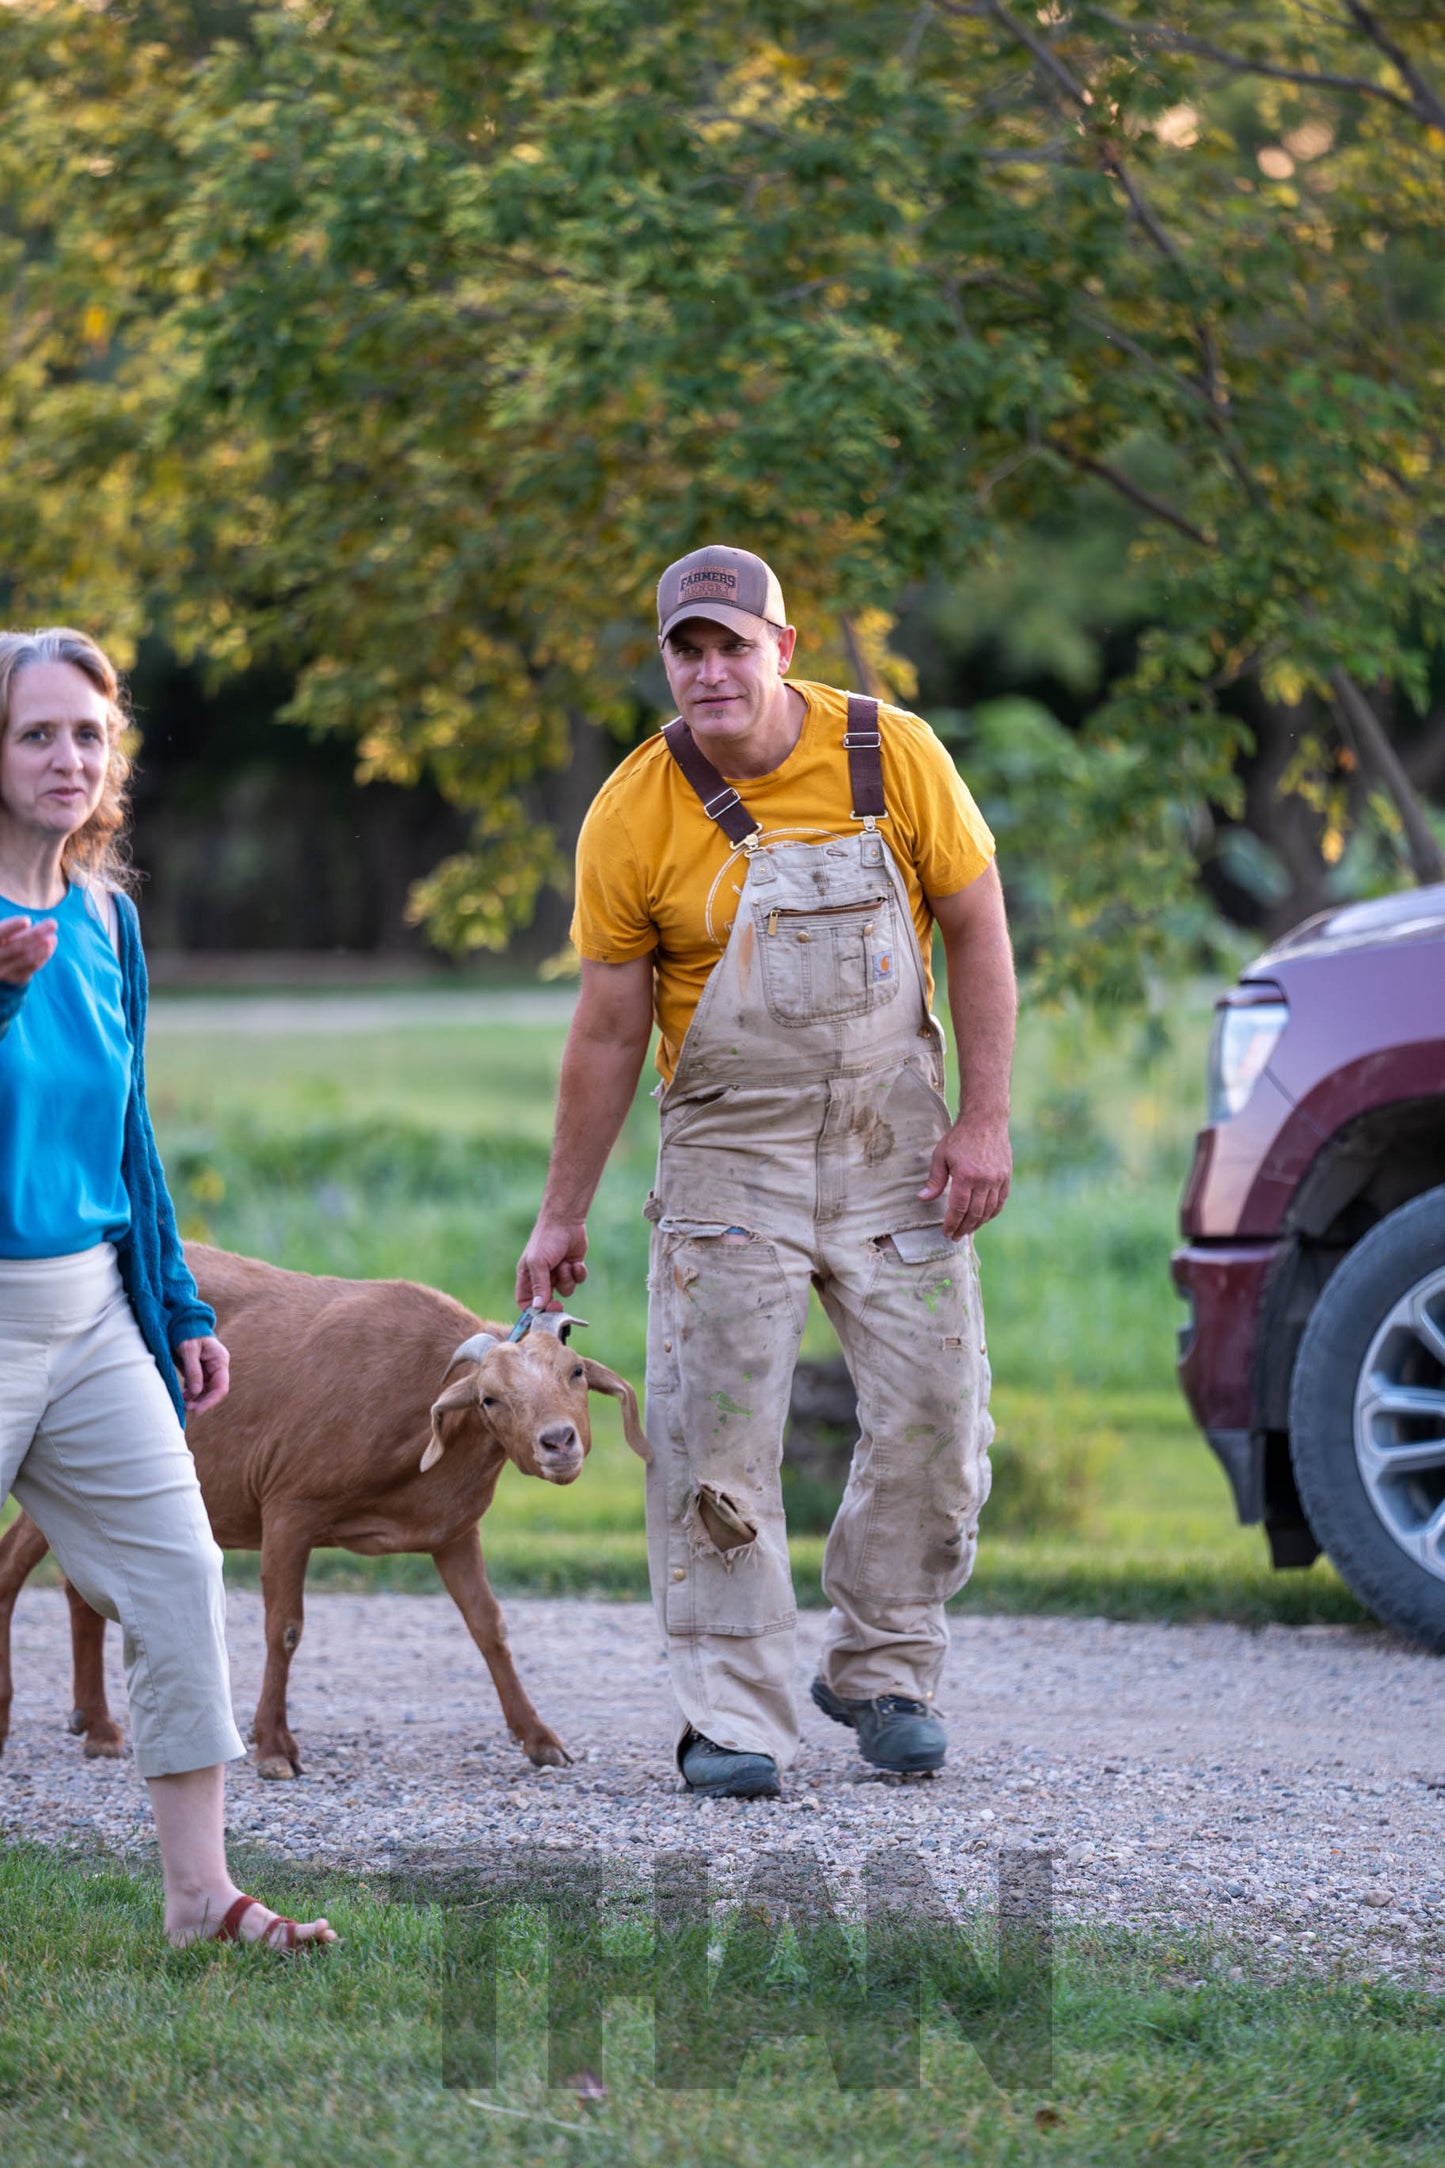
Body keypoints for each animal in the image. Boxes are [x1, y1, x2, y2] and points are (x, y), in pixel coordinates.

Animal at [0, 1240, 645, 1777]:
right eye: (489, 1398)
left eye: (576, 1372)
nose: (558, 1442)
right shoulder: (289, 1505)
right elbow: (284, 1627)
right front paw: (273, 1747)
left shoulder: (451, 1530)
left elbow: (490, 1626)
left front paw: (540, 1738)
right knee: (12, 1565)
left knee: (77, 1586)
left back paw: (99, 1728)